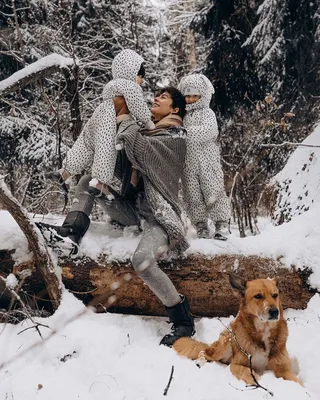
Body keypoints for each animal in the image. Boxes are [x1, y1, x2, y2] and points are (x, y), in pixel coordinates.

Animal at [174, 276, 302, 384]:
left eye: (275, 295)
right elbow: (247, 372)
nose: (275, 312)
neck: (264, 330)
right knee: (203, 352)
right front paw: (258, 380)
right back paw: (201, 362)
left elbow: (297, 382)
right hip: (225, 345)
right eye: (258, 296)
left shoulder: (283, 369)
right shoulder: (236, 365)